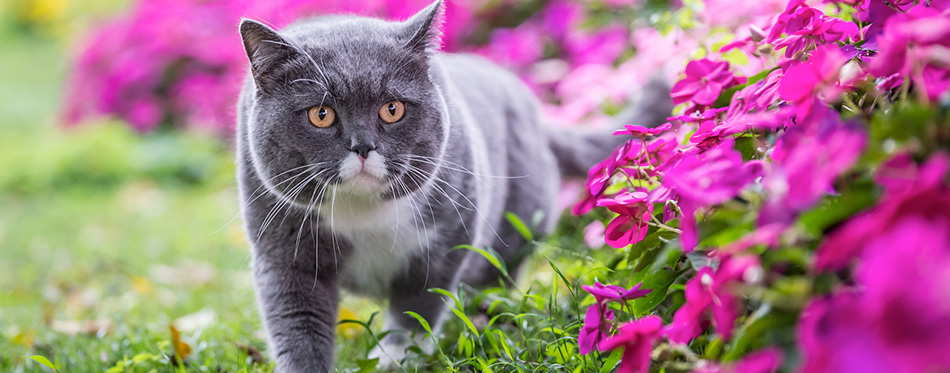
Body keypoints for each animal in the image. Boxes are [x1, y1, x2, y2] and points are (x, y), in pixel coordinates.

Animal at [235, 1, 672, 370]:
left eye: (392, 109)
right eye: (321, 114)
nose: (363, 146)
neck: (364, 212)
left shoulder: (452, 230)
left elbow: (420, 300)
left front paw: (397, 354)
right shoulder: (283, 245)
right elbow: (295, 316)